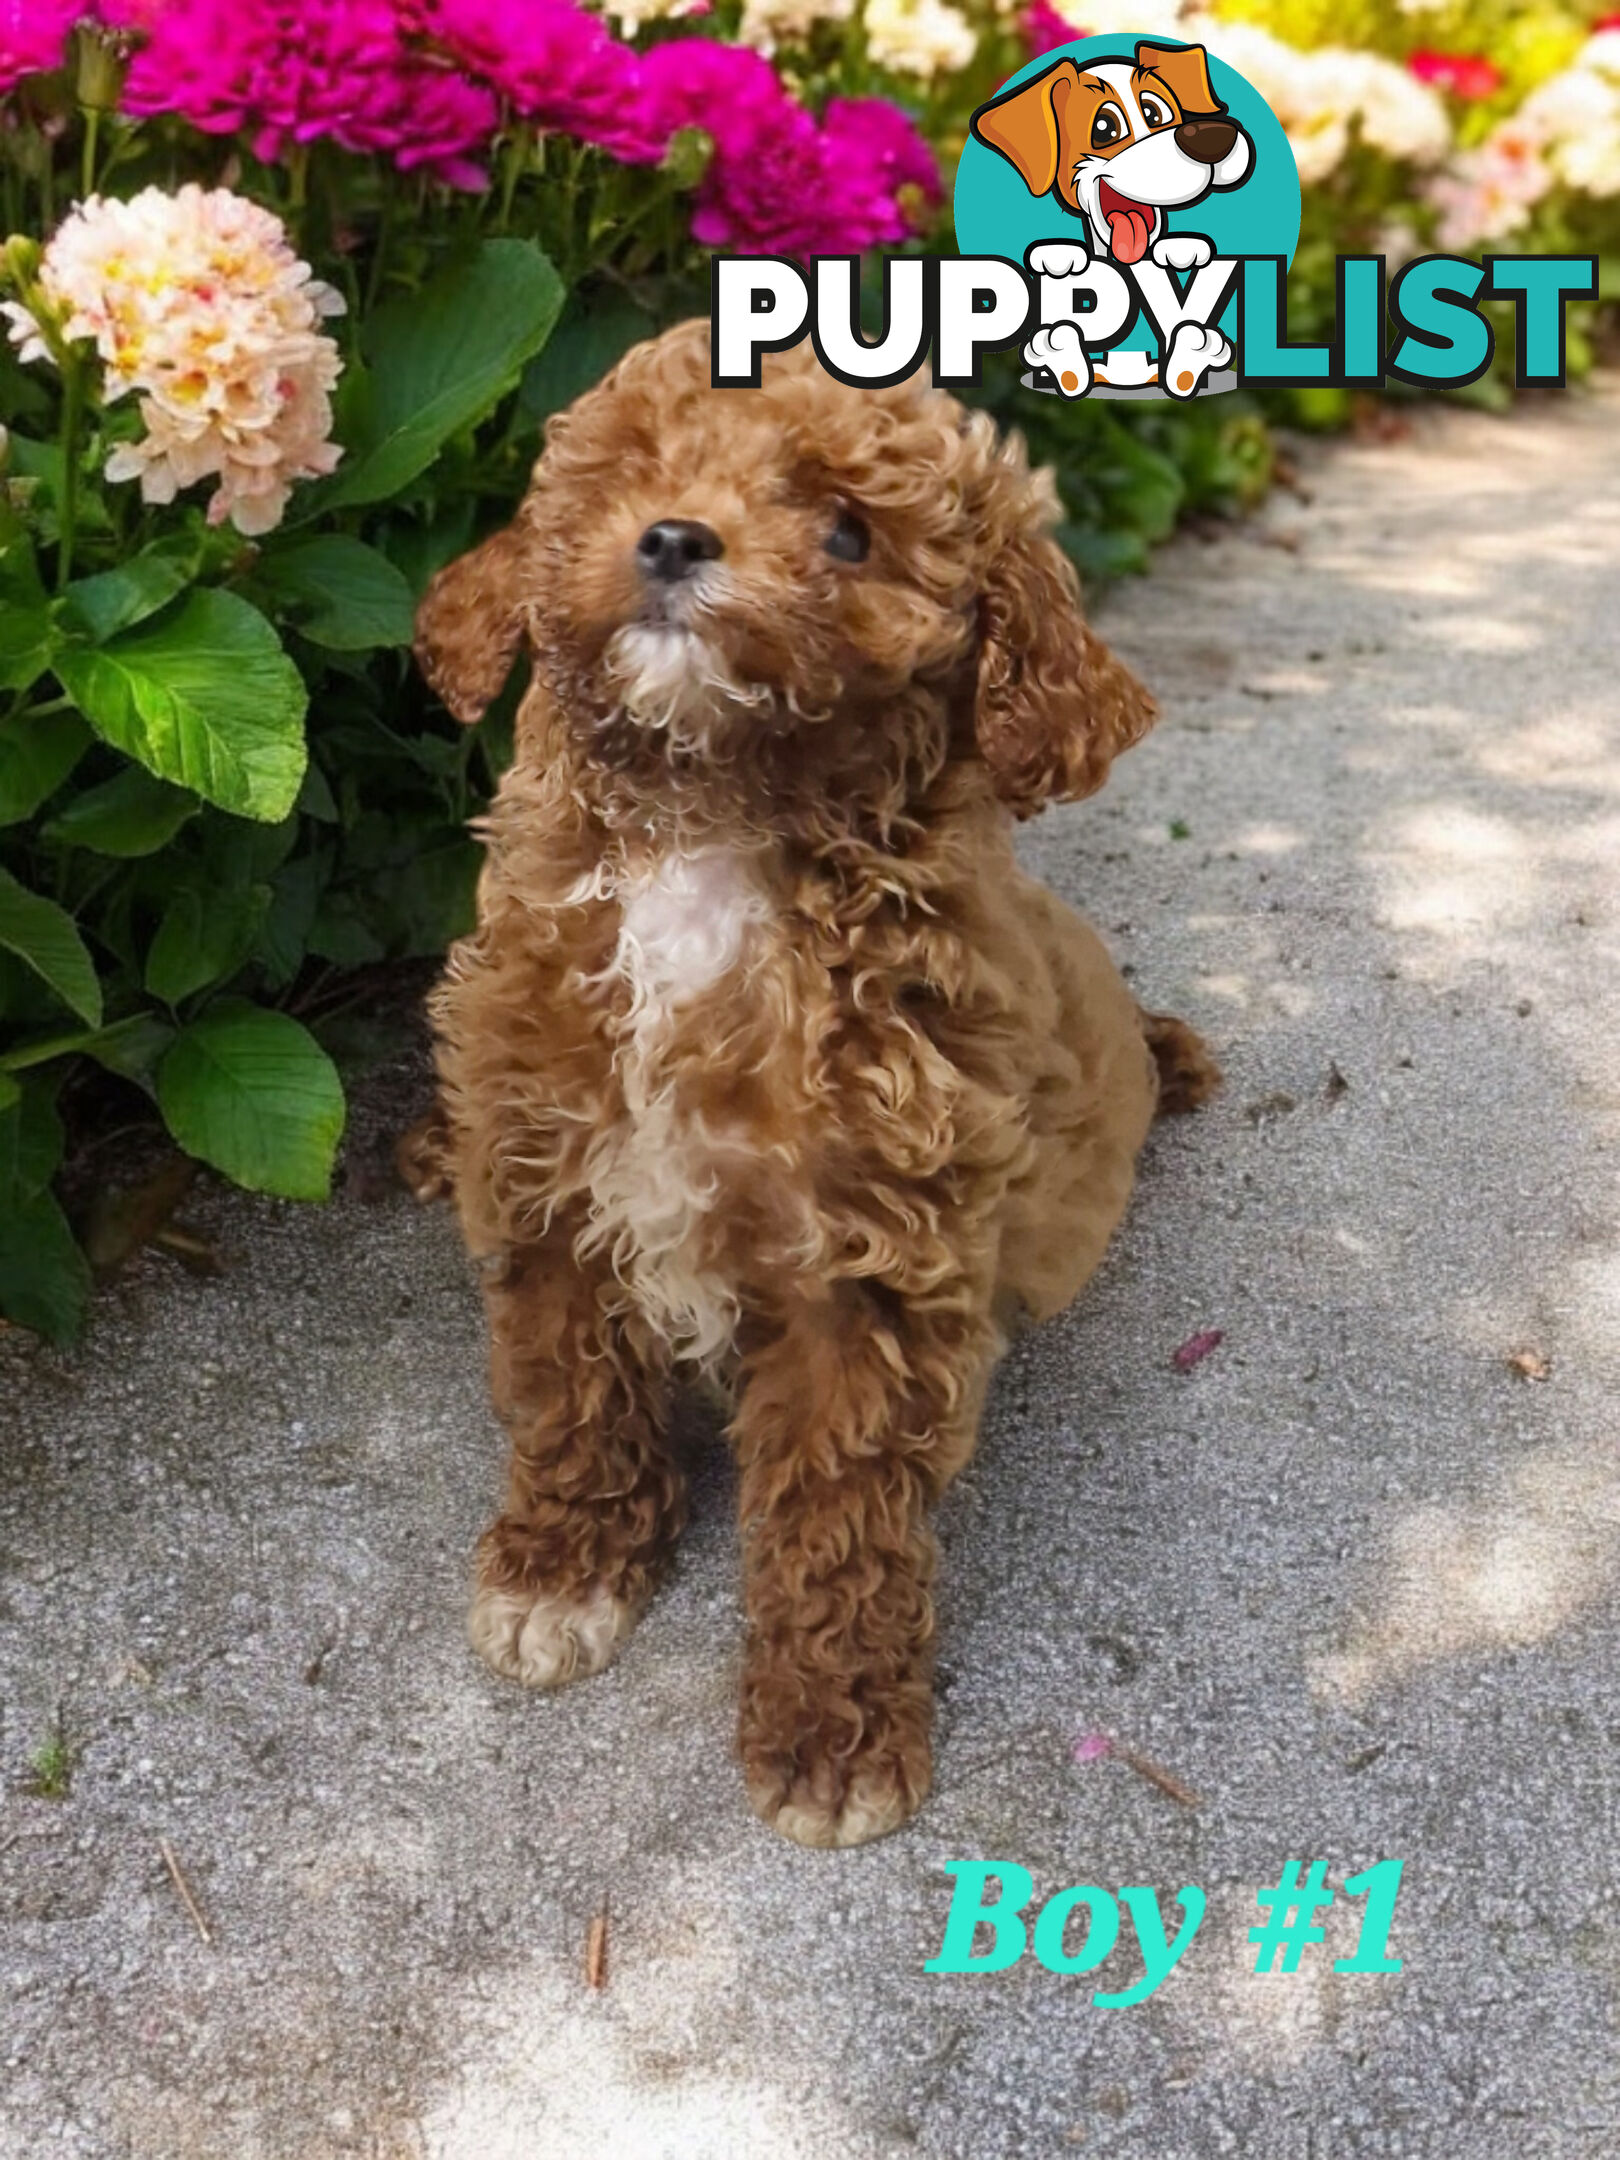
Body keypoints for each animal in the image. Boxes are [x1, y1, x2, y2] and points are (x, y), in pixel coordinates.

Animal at [412, 315, 1209, 1840]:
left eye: (846, 531)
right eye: (635, 471)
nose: (671, 537)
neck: (708, 835)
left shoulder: (869, 1262)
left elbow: (838, 1515)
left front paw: (830, 1732)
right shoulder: (549, 1169)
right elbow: (570, 1390)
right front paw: (562, 1568)